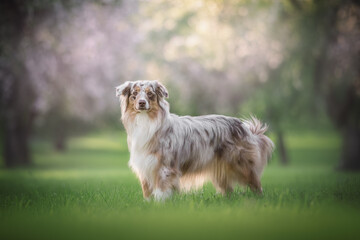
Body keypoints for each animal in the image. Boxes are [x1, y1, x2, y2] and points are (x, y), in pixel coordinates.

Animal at [116, 80, 274, 201]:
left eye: (150, 94)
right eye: (134, 94)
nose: (142, 103)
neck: (146, 121)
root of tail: (245, 127)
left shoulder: (165, 167)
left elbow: (161, 189)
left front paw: (160, 204)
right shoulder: (145, 164)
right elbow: (147, 190)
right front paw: (148, 203)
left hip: (241, 165)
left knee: (256, 185)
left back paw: (259, 199)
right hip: (220, 170)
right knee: (228, 190)